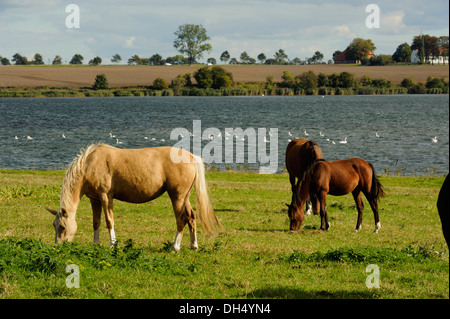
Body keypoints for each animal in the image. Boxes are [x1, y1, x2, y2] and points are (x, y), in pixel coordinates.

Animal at [46, 144, 222, 252]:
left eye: (62, 227)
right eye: (54, 226)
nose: (57, 247)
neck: (91, 164)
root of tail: (192, 157)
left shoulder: (106, 197)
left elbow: (109, 221)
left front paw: (112, 245)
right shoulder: (94, 199)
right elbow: (96, 222)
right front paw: (96, 245)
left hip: (177, 197)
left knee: (181, 220)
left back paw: (175, 247)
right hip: (184, 197)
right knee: (191, 217)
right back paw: (193, 245)